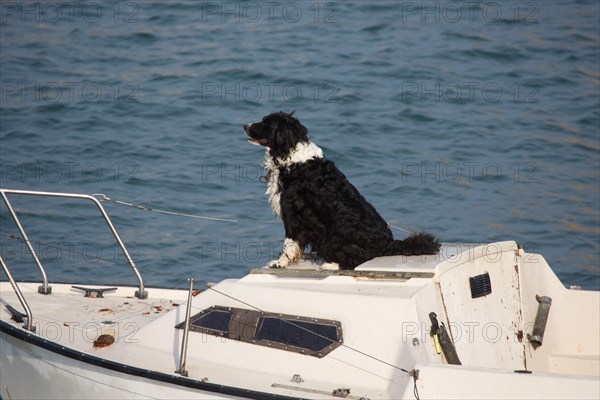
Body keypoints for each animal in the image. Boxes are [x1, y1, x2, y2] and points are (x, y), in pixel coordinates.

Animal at [245, 111, 440, 270]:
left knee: (357, 260)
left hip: (335, 236)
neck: (294, 159)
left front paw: (280, 263)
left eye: (265, 123)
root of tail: (389, 244)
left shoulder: (292, 212)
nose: (245, 126)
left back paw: (330, 264)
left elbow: (289, 242)